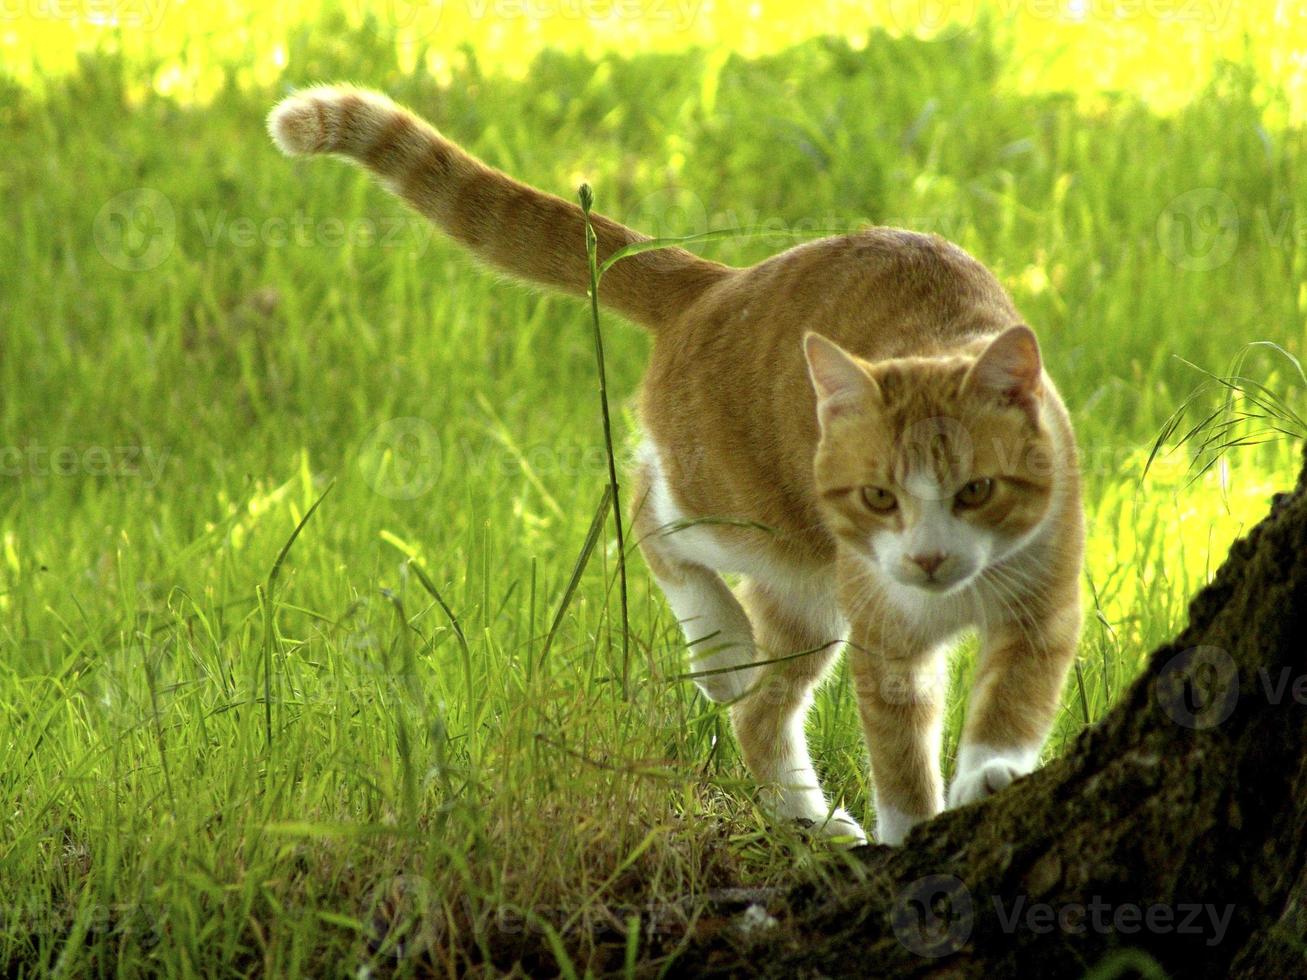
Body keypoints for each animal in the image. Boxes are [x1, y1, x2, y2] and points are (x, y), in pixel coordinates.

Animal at [265, 84, 1082, 846]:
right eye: (879, 497)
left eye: (976, 490)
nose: (928, 560)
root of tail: (721, 282)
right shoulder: (886, 638)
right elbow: (899, 753)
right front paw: (911, 832)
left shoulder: (1042, 604)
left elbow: (1016, 699)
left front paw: (989, 775)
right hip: (748, 515)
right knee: (649, 514)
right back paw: (722, 651)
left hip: (807, 589)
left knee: (759, 712)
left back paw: (809, 822)